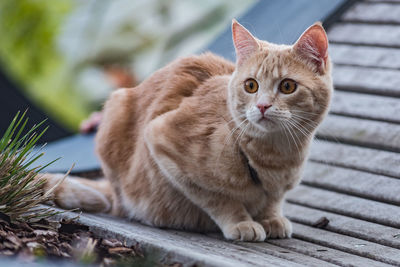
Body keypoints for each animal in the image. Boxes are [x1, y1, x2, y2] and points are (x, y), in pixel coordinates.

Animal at [42, 20, 332, 243]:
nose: (262, 106)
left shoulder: (279, 188)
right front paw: (241, 222)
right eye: (251, 85)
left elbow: (273, 200)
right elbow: (219, 199)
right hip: (116, 109)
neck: (275, 155)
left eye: (287, 86)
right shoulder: (161, 140)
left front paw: (271, 218)